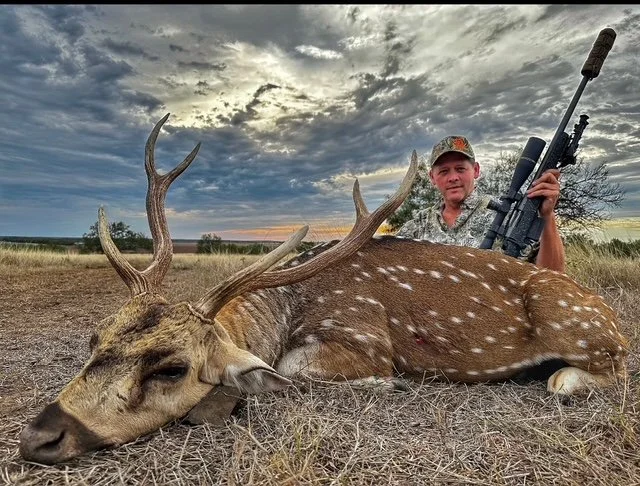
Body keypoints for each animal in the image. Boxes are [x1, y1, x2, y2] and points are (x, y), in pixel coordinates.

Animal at [19, 114, 629, 465]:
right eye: (94, 339)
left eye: (172, 368)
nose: (39, 438)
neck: (288, 307)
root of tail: (609, 316)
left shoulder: (365, 337)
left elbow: (293, 371)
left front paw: (389, 385)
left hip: (574, 321)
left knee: (605, 370)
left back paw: (560, 376)